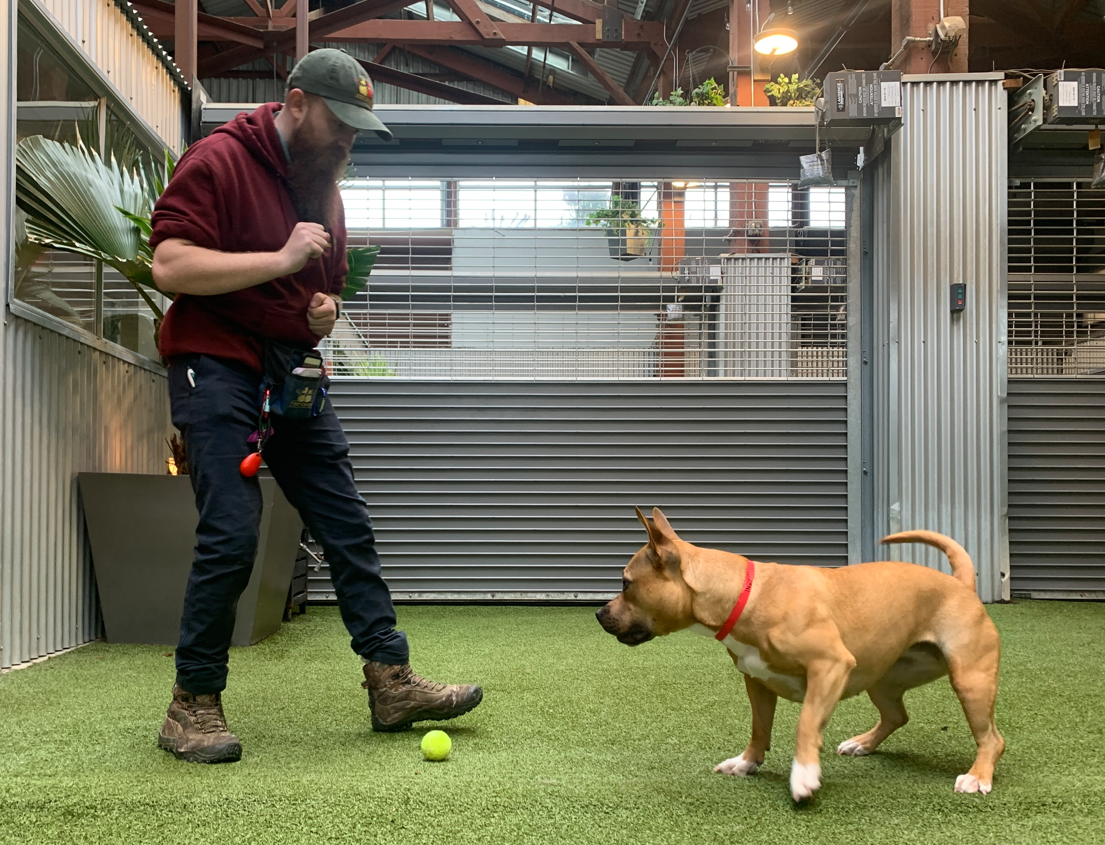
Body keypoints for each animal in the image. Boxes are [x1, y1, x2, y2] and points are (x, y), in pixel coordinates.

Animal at [601, 510, 1007, 799]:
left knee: (991, 738)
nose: (599, 614)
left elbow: (806, 723)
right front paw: (747, 763)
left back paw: (977, 776)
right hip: (882, 678)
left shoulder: (830, 667)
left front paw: (804, 774)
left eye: (626, 583)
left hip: (970, 681)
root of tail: (961, 584)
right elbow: (759, 727)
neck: (747, 594)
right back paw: (863, 743)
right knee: (897, 715)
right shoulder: (757, 681)